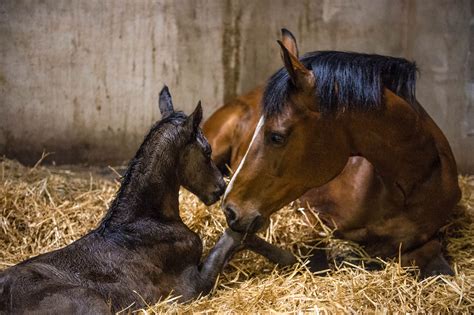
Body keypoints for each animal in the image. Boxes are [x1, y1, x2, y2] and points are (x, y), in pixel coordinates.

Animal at [0, 86, 294, 315]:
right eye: (207, 150)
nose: (219, 188)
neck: (145, 220)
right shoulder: (190, 287)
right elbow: (229, 241)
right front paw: (285, 255)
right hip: (93, 301)